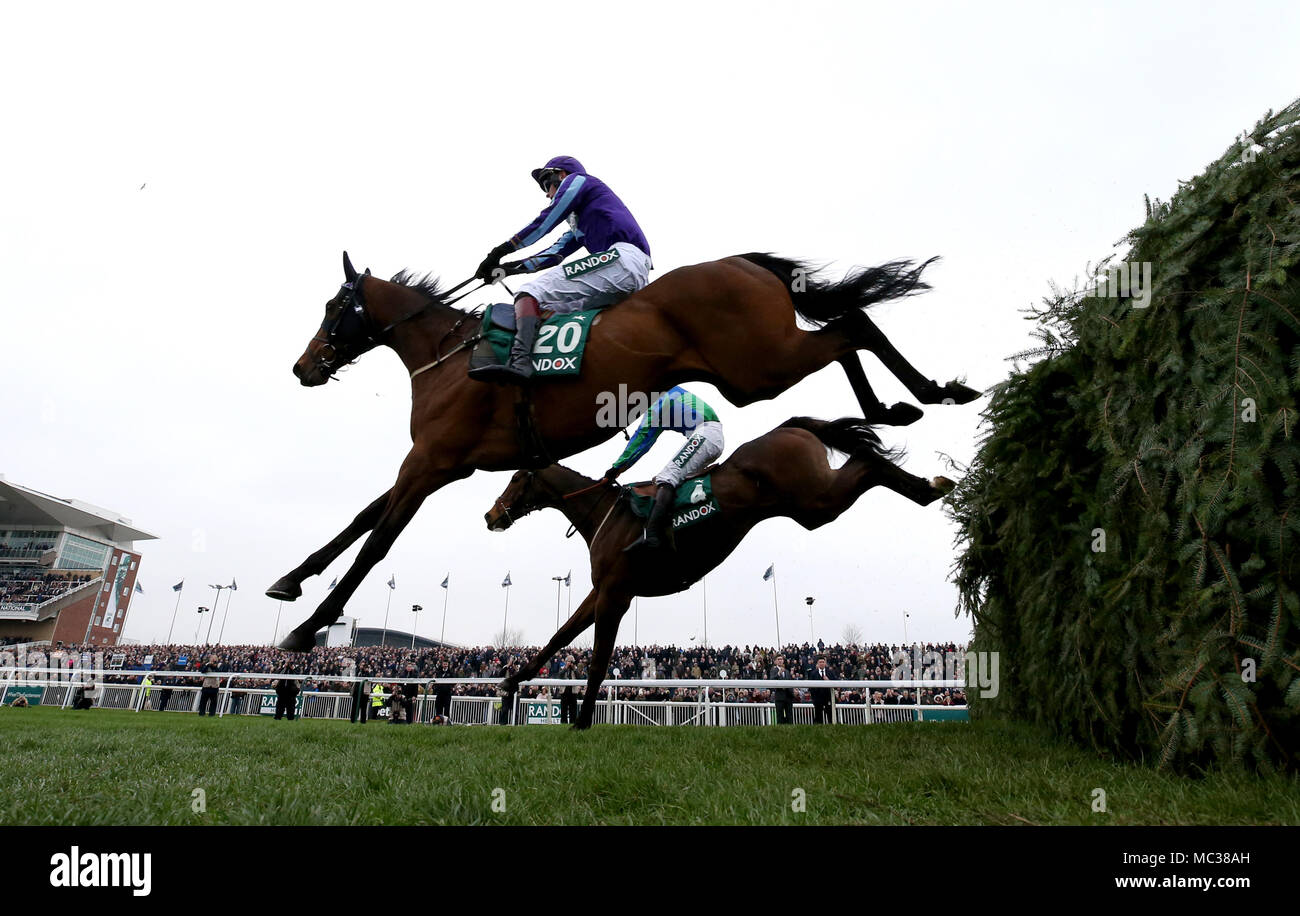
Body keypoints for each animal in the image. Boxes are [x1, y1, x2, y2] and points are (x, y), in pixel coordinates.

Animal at [266, 252, 977, 649]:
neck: (449, 356)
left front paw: (307, 628)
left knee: (849, 328)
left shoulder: (433, 461)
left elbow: (378, 540)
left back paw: (926, 394)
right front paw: (288, 581)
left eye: (333, 306)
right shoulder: (443, 463)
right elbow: (362, 518)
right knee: (847, 333)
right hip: (760, 369)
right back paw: (902, 406)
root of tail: (747, 263)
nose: (302, 367)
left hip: (759, 368)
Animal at [488, 415, 956, 727]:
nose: (491, 515)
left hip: (815, 500)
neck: (606, 514)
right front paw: (512, 681)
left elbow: (600, 658)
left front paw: (583, 720)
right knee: (865, 460)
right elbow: (560, 635)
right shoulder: (601, 591)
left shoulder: (616, 594)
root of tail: (786, 427)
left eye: (515, 478)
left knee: (866, 462)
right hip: (813, 502)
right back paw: (928, 486)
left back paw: (931, 485)